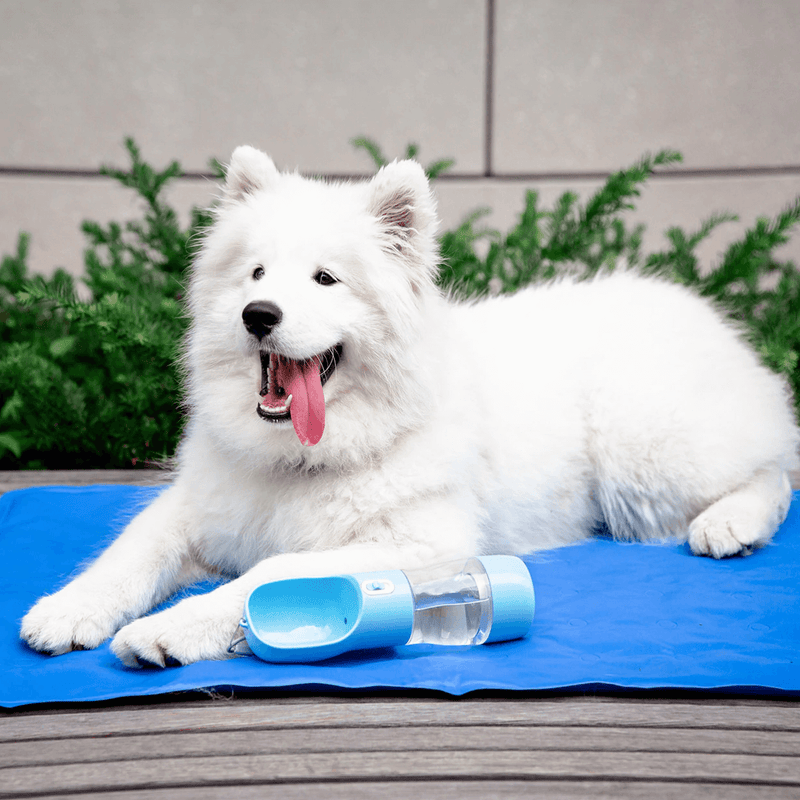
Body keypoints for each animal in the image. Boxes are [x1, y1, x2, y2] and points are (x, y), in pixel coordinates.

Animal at [20, 147, 800, 664]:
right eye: (256, 273)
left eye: (326, 279)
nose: (257, 314)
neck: (304, 457)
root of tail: (708, 317)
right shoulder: (197, 506)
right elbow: (131, 551)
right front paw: (69, 609)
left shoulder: (423, 545)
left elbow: (271, 573)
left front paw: (170, 628)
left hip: (644, 453)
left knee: (776, 466)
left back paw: (729, 523)